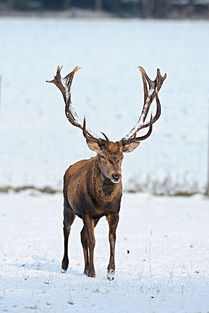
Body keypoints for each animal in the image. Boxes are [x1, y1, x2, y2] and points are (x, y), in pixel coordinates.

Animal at [47, 64, 167, 280]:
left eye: (122, 156)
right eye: (102, 156)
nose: (116, 176)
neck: (101, 201)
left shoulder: (114, 212)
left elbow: (112, 239)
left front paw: (110, 272)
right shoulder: (86, 211)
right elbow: (93, 241)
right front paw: (93, 271)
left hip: (93, 217)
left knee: (81, 235)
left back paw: (85, 267)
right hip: (68, 205)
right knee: (67, 230)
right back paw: (65, 265)